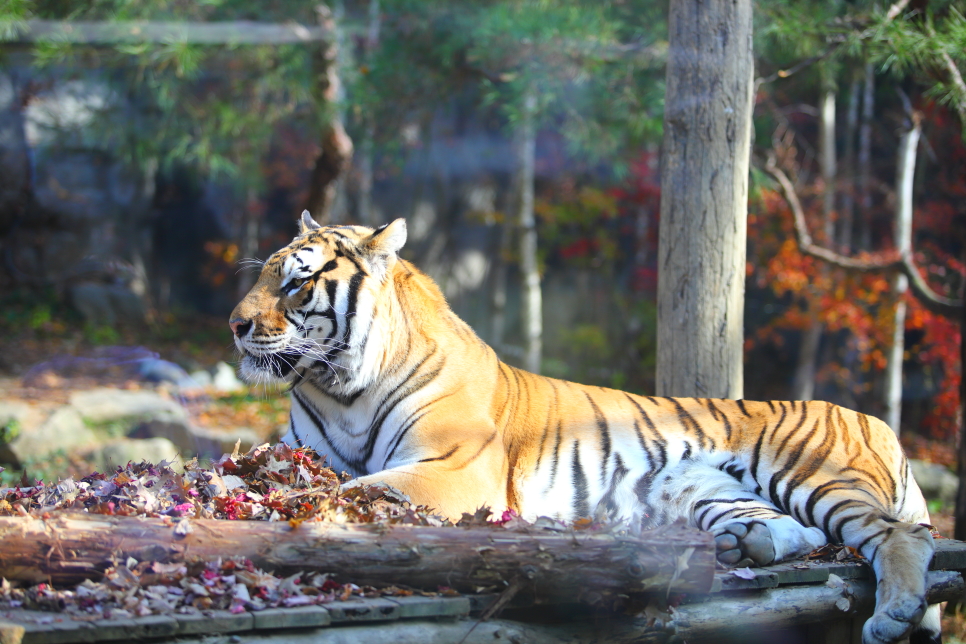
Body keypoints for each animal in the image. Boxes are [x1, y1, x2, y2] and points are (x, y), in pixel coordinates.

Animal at [233, 213, 944, 644]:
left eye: (296, 282)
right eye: (265, 273)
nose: (235, 325)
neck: (341, 388)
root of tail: (875, 419)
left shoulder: (457, 467)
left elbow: (361, 489)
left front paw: (293, 506)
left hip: (814, 473)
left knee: (900, 535)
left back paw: (892, 614)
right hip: (712, 491)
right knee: (794, 534)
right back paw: (743, 549)